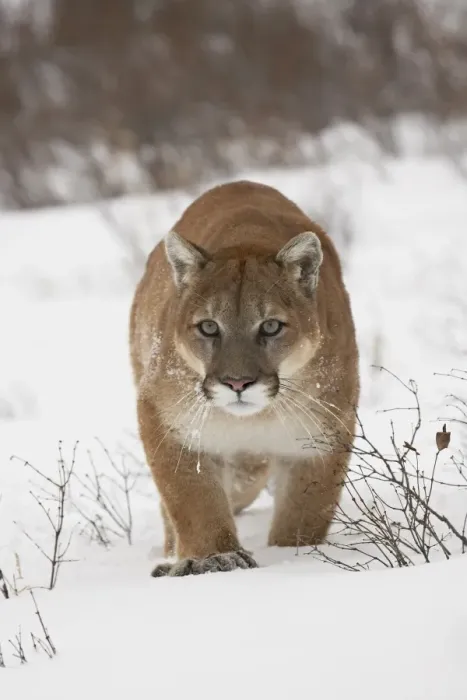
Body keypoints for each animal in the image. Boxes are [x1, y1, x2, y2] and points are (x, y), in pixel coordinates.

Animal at [129, 180, 359, 576]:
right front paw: (215, 557)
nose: (237, 383)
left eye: (270, 326)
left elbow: (305, 511)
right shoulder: (166, 418)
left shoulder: (322, 434)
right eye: (209, 327)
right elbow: (191, 498)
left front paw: (296, 555)